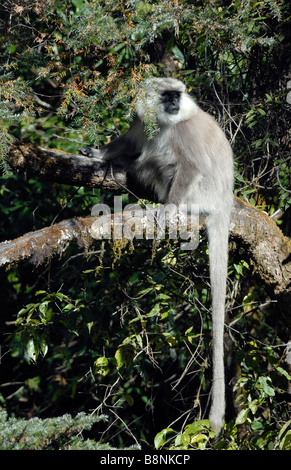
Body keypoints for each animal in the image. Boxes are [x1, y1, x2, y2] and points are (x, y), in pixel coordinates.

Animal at [80, 76, 235, 434]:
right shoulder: (143, 120)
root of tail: (224, 203)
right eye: (167, 96)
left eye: (177, 96)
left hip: (198, 195)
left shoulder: (184, 133)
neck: (167, 121)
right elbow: (129, 138)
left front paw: (167, 207)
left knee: (153, 161)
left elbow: (190, 165)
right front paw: (98, 152)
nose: (176, 104)